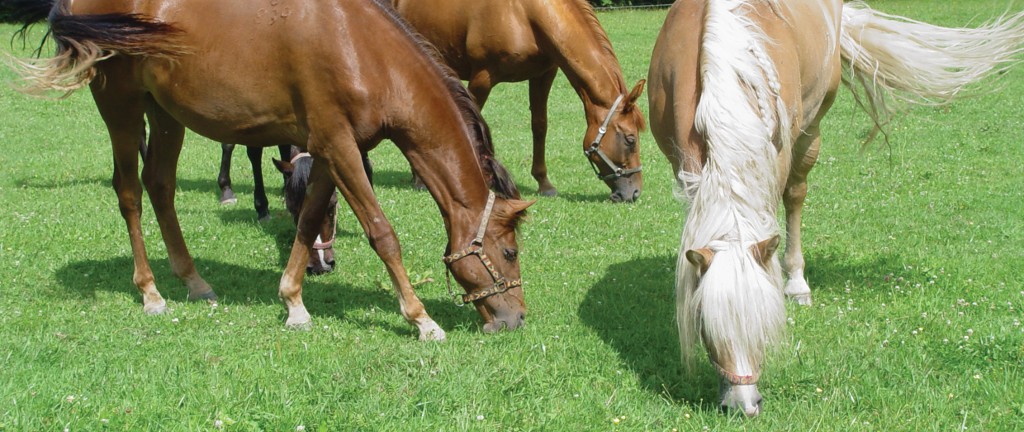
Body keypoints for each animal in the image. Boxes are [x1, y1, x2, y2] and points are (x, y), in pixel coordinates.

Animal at [6, 0, 536, 339]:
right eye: (509, 253)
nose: (516, 319)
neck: (359, 48)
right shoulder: (339, 147)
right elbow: (382, 233)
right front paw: (421, 319)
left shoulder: (326, 151)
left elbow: (307, 222)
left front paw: (294, 302)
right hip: (120, 106)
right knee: (130, 193)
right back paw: (151, 293)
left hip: (166, 113)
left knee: (160, 185)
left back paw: (194, 281)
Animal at [391, 0, 647, 202]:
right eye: (630, 139)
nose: (634, 193)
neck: (524, 14)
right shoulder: (482, 78)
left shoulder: (543, 75)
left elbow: (540, 125)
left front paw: (544, 183)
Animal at [647, 0, 1024, 417]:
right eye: (706, 328)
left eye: (764, 326)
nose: (745, 405)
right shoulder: (683, 166)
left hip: (811, 129)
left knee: (795, 196)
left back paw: (796, 283)